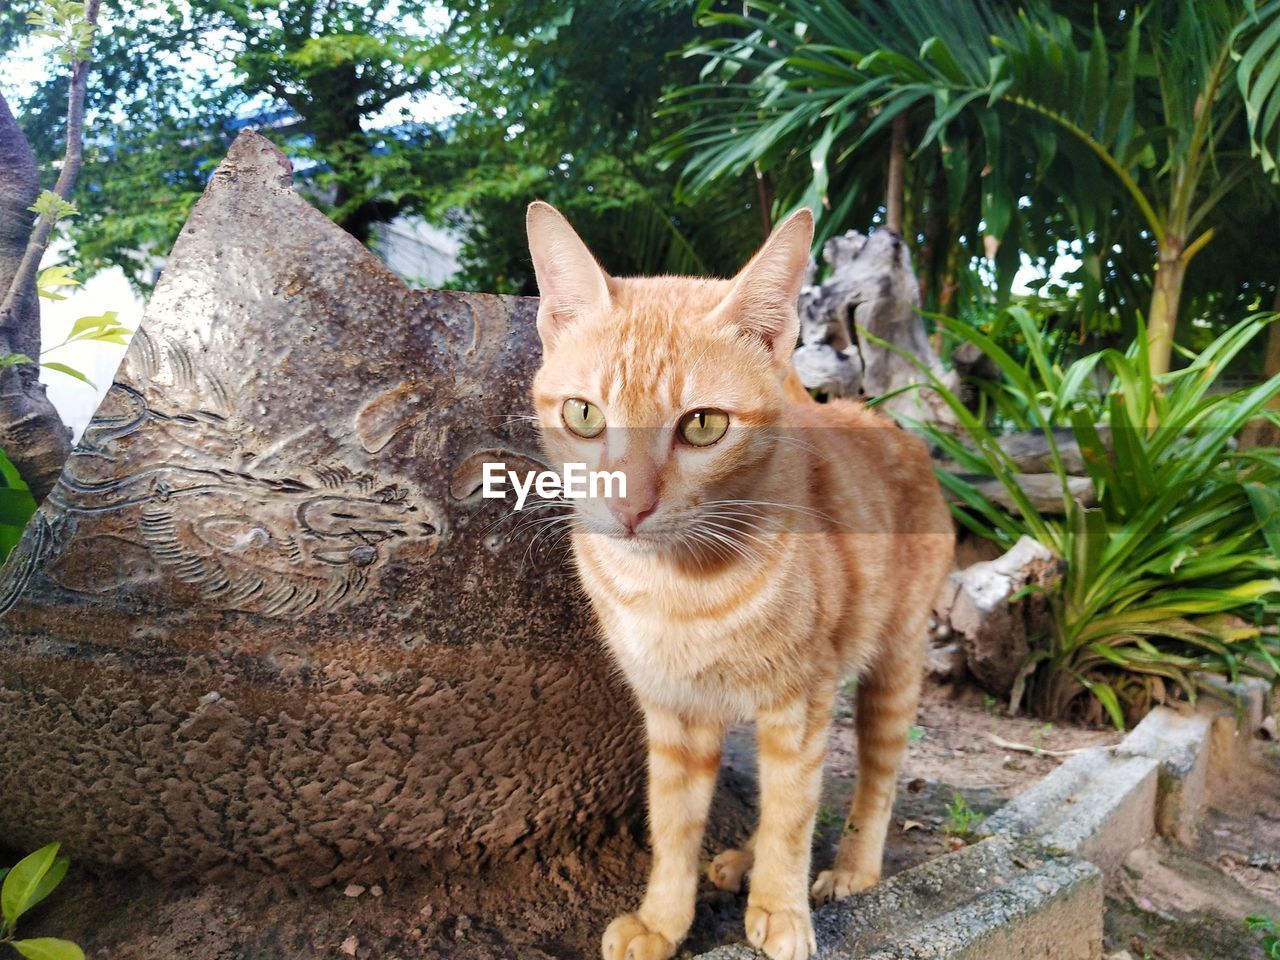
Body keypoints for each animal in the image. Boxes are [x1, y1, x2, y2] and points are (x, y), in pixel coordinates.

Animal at [524, 199, 957, 957]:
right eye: (583, 415)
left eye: (703, 425)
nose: (628, 506)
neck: (678, 585)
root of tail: (884, 420)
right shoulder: (674, 712)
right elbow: (673, 825)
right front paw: (664, 921)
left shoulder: (801, 701)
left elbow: (792, 813)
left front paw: (781, 909)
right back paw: (741, 861)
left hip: (893, 669)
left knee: (873, 778)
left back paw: (852, 869)